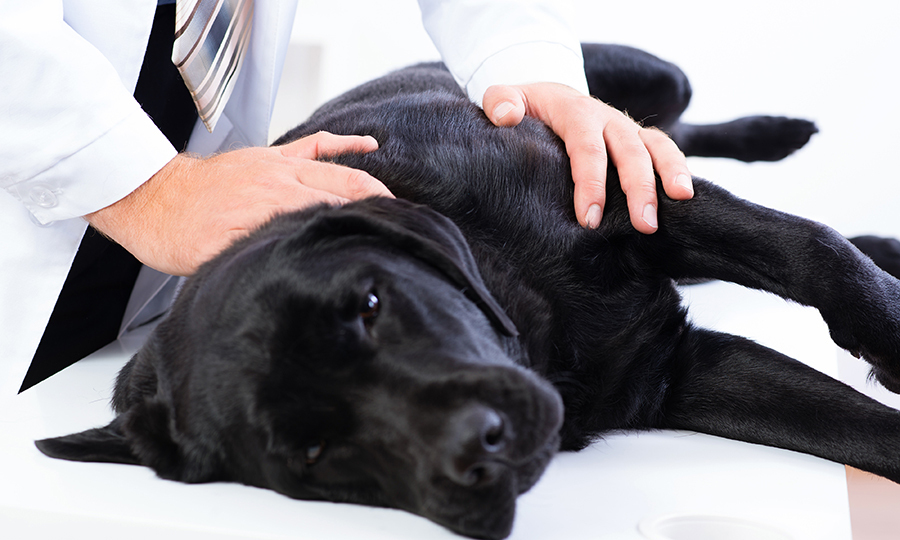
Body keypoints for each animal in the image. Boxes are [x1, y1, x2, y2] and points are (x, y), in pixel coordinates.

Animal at [38, 44, 900, 536]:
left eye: (371, 305)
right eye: (311, 452)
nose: (481, 448)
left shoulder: (633, 197)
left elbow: (811, 251)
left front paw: (883, 332)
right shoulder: (677, 374)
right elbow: (856, 428)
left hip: (644, 87)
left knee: (673, 133)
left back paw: (782, 139)